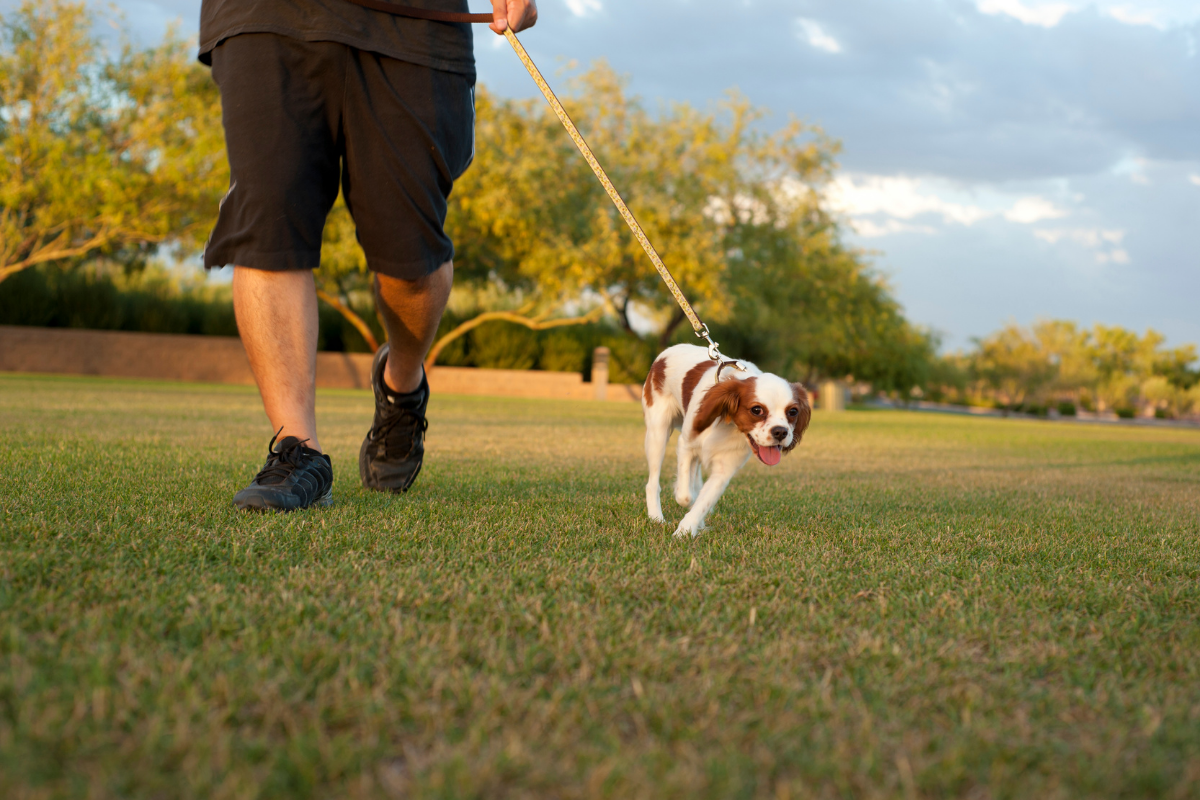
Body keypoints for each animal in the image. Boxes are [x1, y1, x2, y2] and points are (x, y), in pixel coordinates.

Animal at [643, 345, 811, 537]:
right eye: (756, 410)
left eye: (793, 412)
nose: (781, 432)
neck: (729, 424)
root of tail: (667, 351)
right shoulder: (686, 444)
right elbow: (684, 496)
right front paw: (686, 521)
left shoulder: (725, 469)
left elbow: (703, 502)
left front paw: (685, 531)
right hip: (657, 433)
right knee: (653, 483)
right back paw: (656, 517)